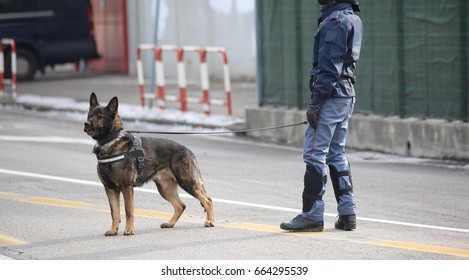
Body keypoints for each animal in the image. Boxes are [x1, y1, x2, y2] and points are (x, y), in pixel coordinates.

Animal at [83, 93, 214, 235]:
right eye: (90, 115)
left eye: (100, 117)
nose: (86, 123)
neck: (110, 140)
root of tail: (189, 150)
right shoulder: (110, 189)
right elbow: (115, 213)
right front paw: (113, 230)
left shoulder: (126, 187)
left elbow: (128, 211)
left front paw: (129, 229)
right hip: (165, 189)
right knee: (181, 206)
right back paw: (170, 223)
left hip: (187, 182)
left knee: (207, 200)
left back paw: (210, 221)